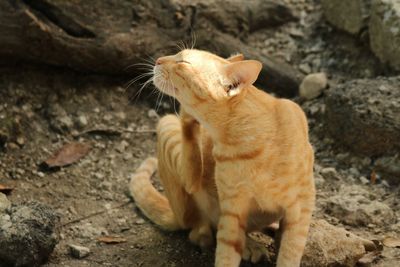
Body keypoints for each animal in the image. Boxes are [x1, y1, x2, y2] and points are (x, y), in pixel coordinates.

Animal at [131, 49, 316, 266]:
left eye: (184, 62)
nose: (158, 60)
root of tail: (175, 213)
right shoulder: (232, 209)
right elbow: (226, 253)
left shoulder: (301, 206)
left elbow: (290, 254)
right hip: (168, 126)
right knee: (197, 220)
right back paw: (247, 245)